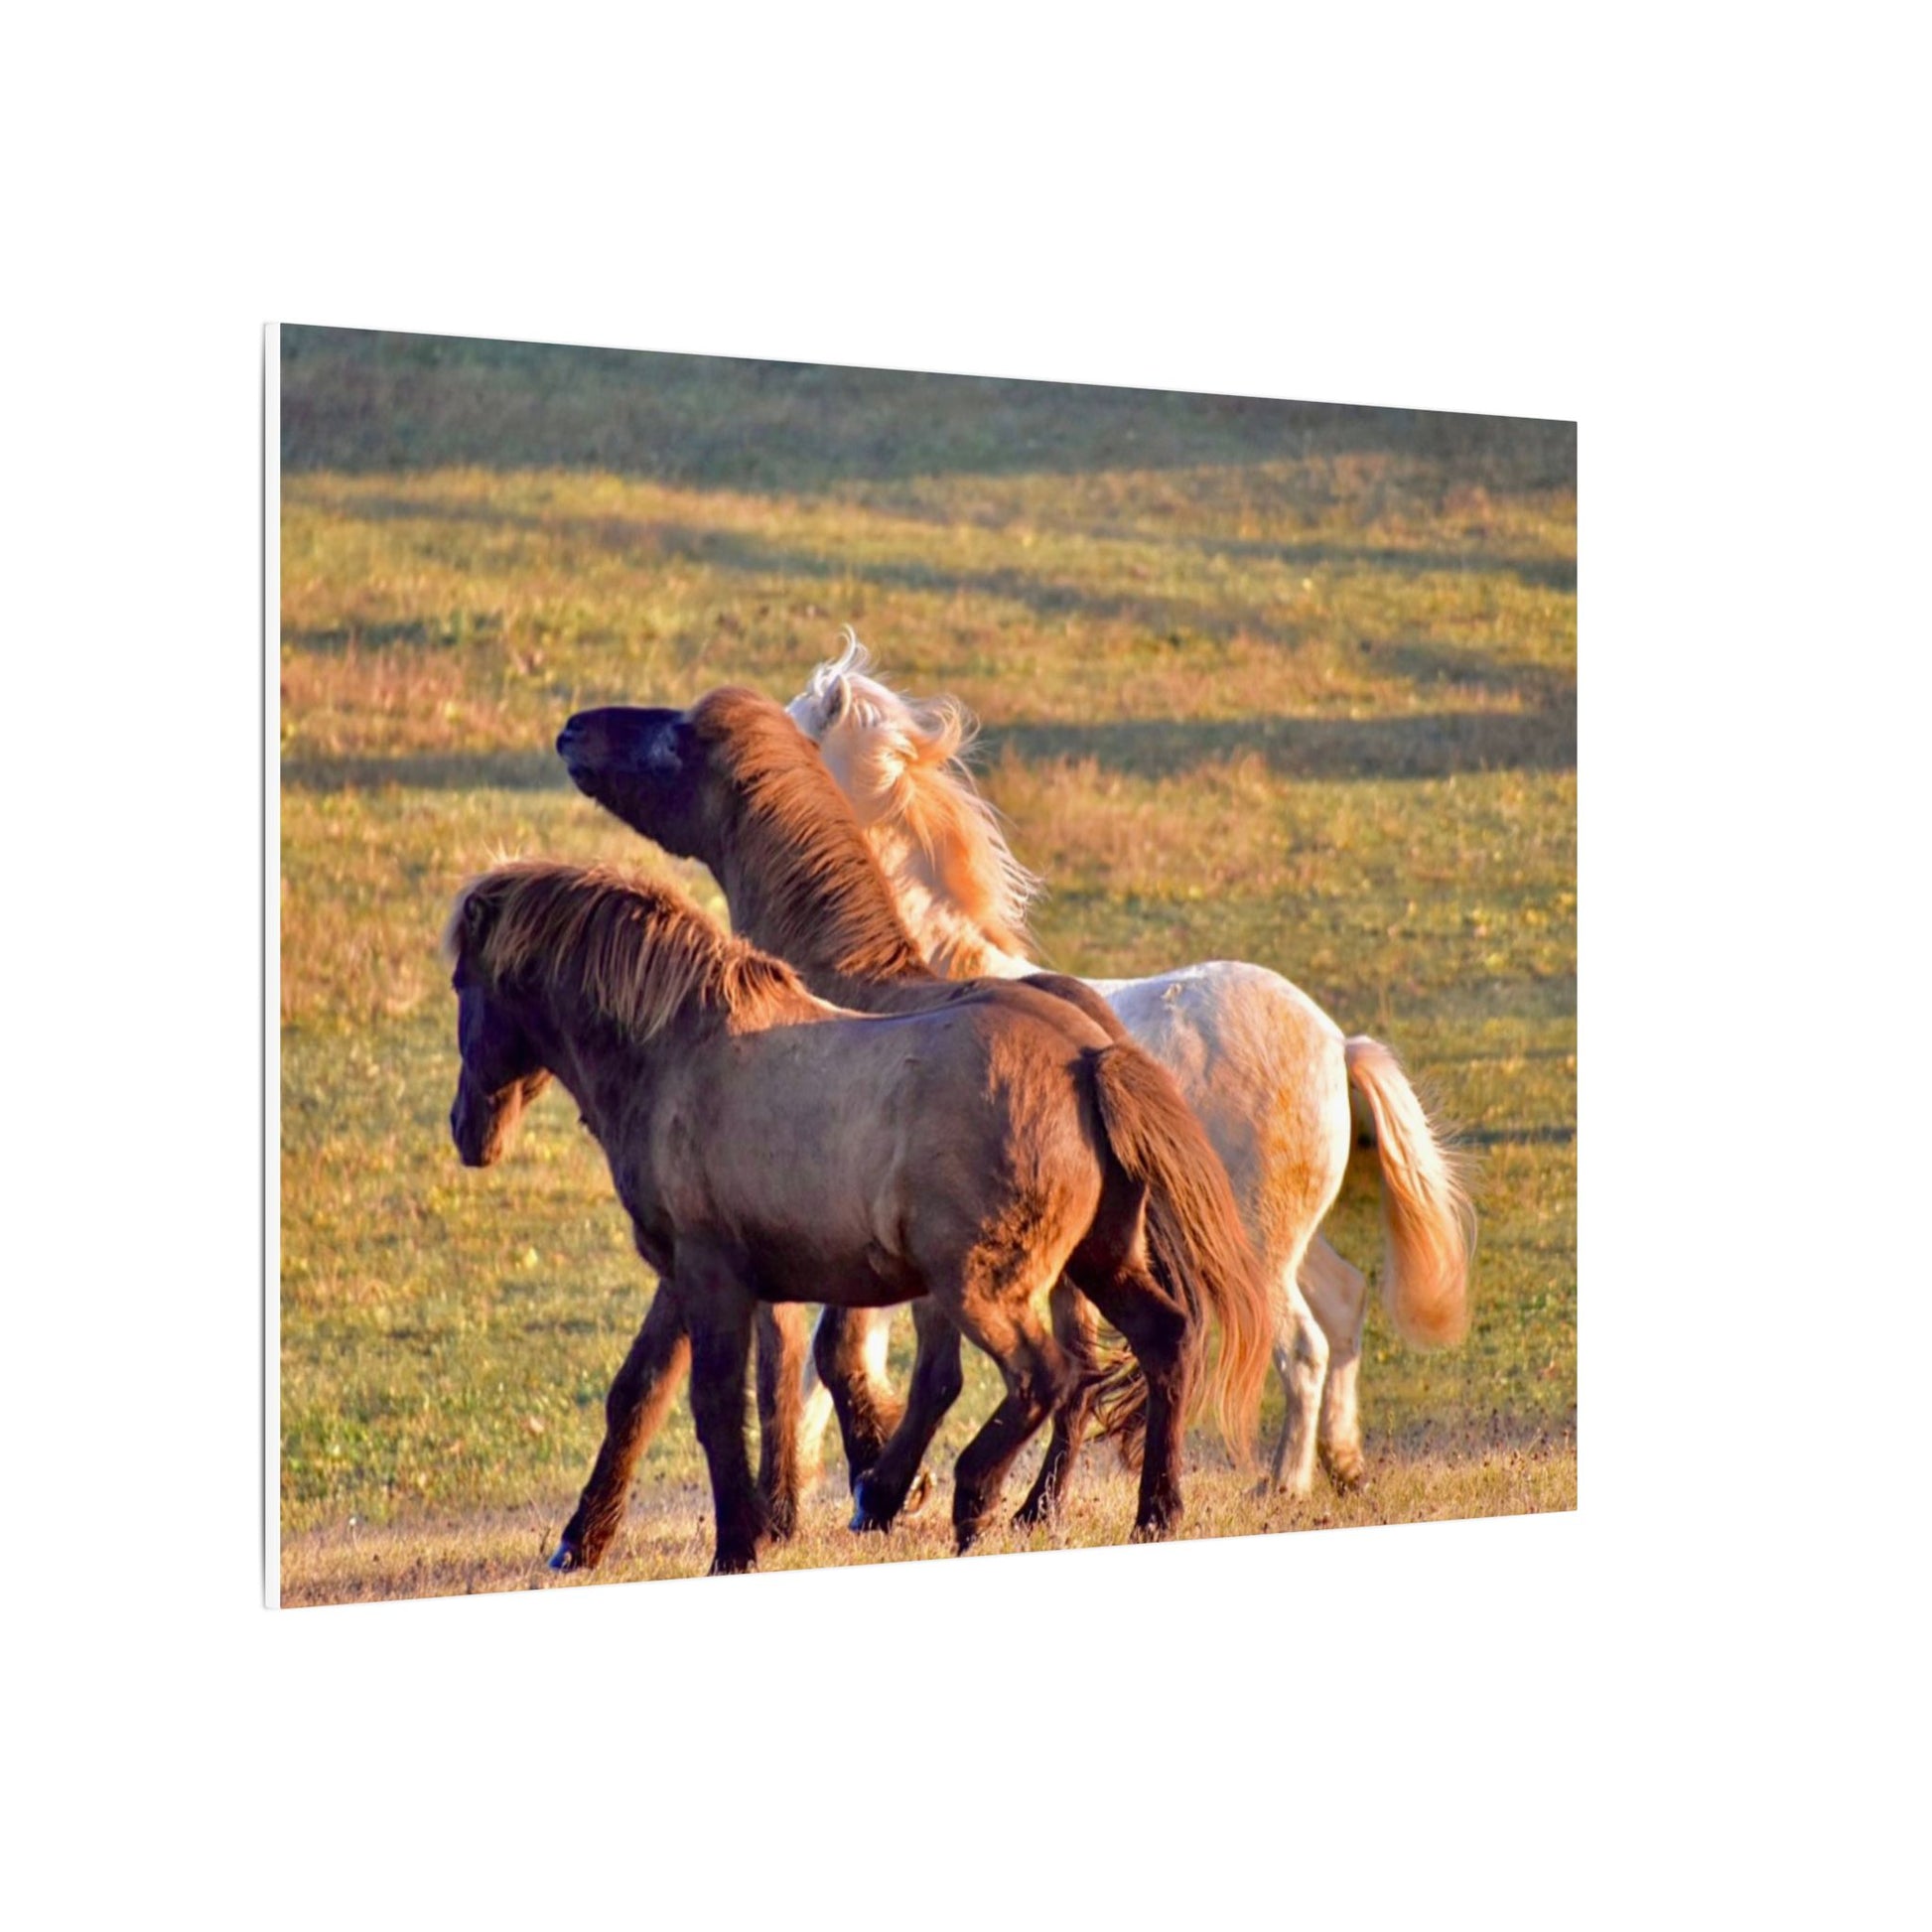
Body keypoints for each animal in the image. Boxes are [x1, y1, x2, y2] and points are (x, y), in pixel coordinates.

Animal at [445, 859, 1272, 1574]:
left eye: (461, 981)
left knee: (1050, 1376)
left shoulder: (711, 1276)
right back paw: (1152, 1514)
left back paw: (966, 1498)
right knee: (1163, 1341)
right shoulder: (682, 1277)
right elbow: (638, 1396)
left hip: (983, 1288)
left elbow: (715, 1406)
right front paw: (583, 1541)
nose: (467, 1129)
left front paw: (736, 1548)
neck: (682, 1053)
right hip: (1100, 1261)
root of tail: (1087, 1060)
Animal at [786, 635, 1475, 1494]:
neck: (914, 979)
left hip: (1257, 1247)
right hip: (1288, 1238)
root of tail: (1334, 1043)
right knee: (1345, 1306)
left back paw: (1282, 1482)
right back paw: (1341, 1466)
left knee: (1304, 1345)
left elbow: (832, 1360)